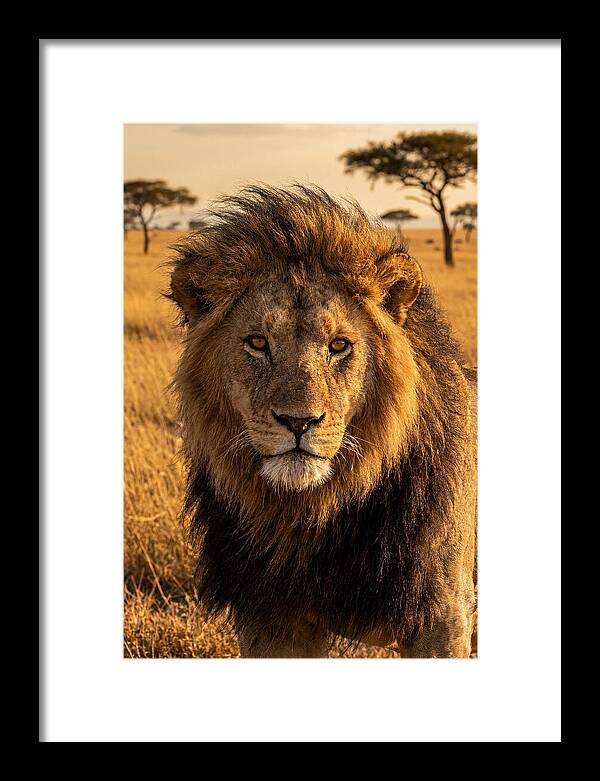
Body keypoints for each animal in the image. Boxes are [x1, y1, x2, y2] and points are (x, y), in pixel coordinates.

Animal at [168, 184, 477, 658]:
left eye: (339, 345)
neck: (312, 516)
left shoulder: (442, 616)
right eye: (258, 343)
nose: (298, 422)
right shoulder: (271, 620)